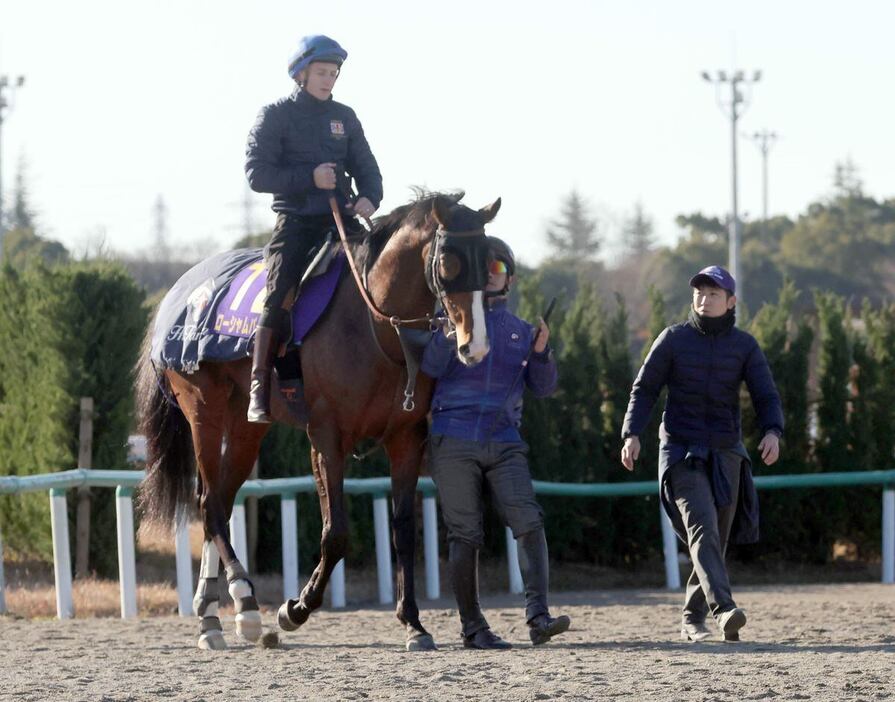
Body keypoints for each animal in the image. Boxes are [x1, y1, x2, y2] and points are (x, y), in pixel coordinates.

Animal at [136, 190, 500, 652]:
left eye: (488, 263)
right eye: (449, 262)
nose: (476, 345)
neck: (376, 327)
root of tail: (177, 294)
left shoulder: (406, 437)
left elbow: (403, 530)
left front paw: (413, 624)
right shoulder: (327, 436)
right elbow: (335, 533)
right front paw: (295, 608)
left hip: (246, 427)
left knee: (215, 498)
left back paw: (211, 618)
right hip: (203, 409)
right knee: (211, 506)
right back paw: (245, 602)